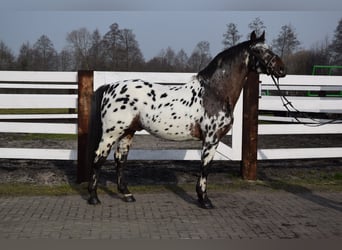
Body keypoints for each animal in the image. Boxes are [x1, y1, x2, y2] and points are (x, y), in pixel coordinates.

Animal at [86, 31, 286, 209]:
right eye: (258, 50)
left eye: (269, 47)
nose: (282, 69)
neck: (214, 92)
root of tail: (110, 87)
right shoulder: (211, 139)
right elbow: (205, 167)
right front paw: (204, 200)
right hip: (111, 134)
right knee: (98, 159)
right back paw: (94, 198)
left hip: (127, 132)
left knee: (120, 159)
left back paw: (127, 195)